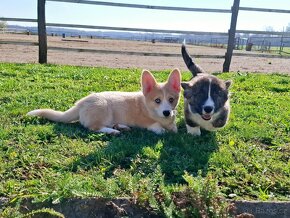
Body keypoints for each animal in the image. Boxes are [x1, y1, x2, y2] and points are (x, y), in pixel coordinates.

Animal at [27, 69, 181, 135]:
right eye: (157, 100)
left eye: (171, 99)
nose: (167, 112)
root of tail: (80, 104)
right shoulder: (143, 121)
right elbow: (155, 125)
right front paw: (161, 129)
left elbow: (174, 128)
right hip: (103, 108)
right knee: (93, 127)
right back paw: (113, 131)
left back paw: (120, 127)